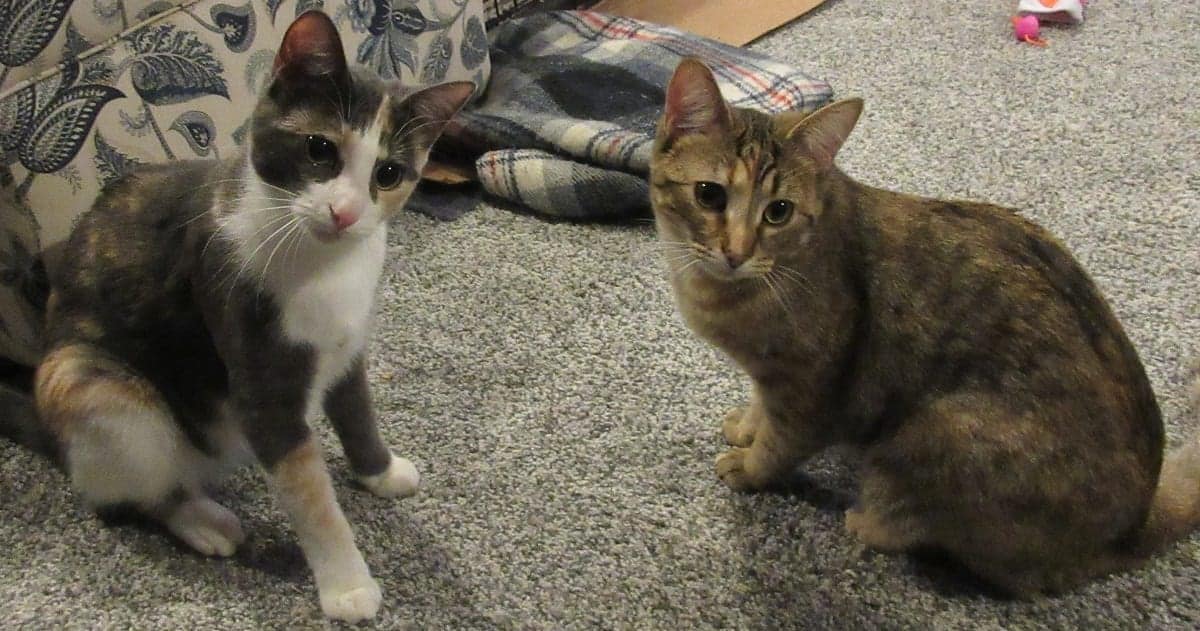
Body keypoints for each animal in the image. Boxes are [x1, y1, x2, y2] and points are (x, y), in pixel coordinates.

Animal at [0, 11, 472, 622]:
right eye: (319, 149)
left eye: (388, 173)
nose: (344, 212)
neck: (324, 265)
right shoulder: (258, 379)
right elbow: (311, 495)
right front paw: (347, 586)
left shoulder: (347, 346)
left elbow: (357, 411)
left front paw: (380, 471)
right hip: (90, 382)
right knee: (127, 491)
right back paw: (203, 521)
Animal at [649, 58, 1200, 596]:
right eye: (709, 195)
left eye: (778, 211)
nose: (736, 252)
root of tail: (1135, 527)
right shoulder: (770, 374)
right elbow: (760, 408)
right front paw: (746, 424)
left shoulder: (812, 392)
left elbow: (778, 445)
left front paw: (749, 466)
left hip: (936, 433)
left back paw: (868, 520)